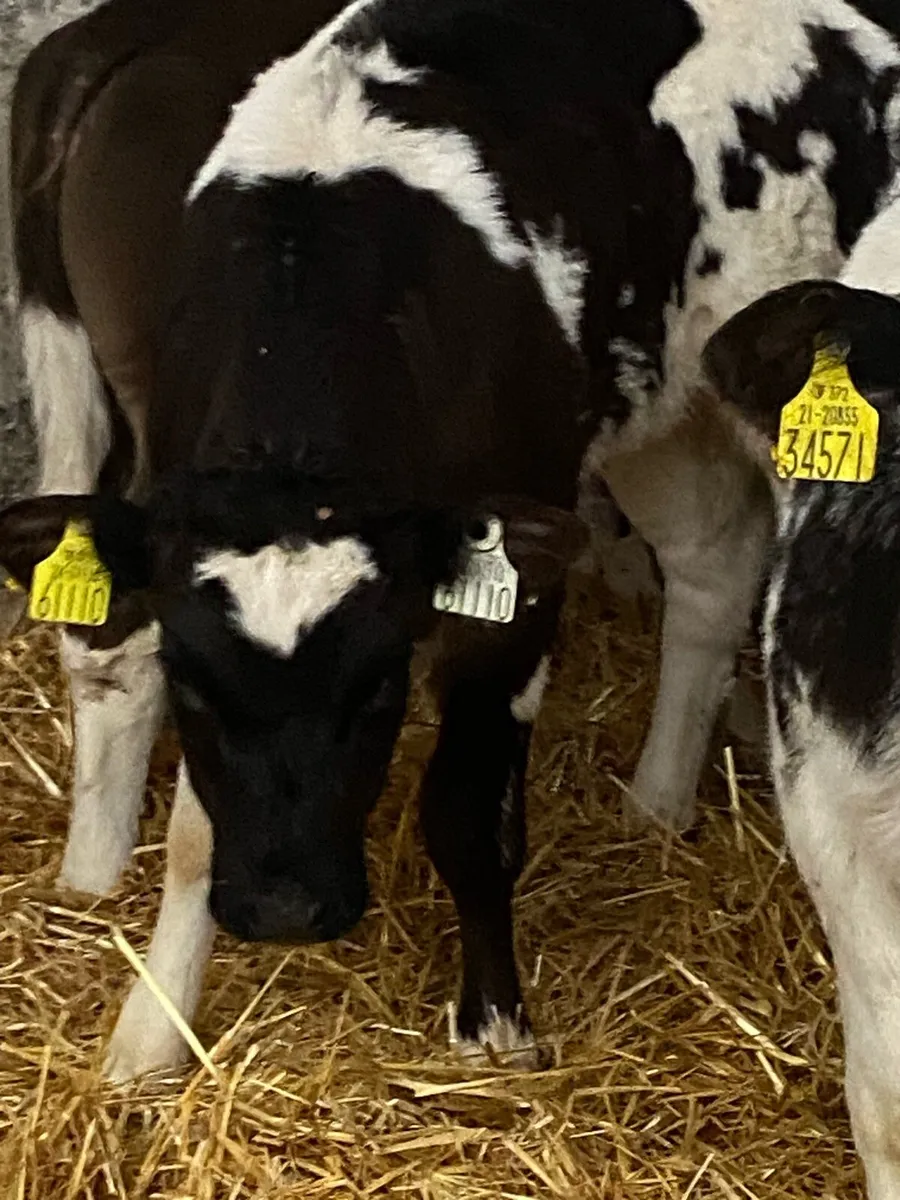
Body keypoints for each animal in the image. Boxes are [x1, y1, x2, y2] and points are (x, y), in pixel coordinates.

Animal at [2, 0, 900, 1089]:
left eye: (381, 686)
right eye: (199, 689)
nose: (286, 910)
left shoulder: (513, 581)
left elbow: (470, 812)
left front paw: (495, 1024)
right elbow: (193, 829)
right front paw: (151, 1029)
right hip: (660, 397)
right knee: (712, 562)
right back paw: (655, 801)